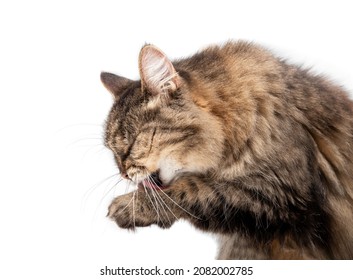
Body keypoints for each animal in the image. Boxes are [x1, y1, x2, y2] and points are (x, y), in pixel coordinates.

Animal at [99, 40, 352, 260]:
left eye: (132, 142)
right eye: (113, 151)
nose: (123, 173)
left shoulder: (283, 194)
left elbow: (196, 190)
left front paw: (129, 205)